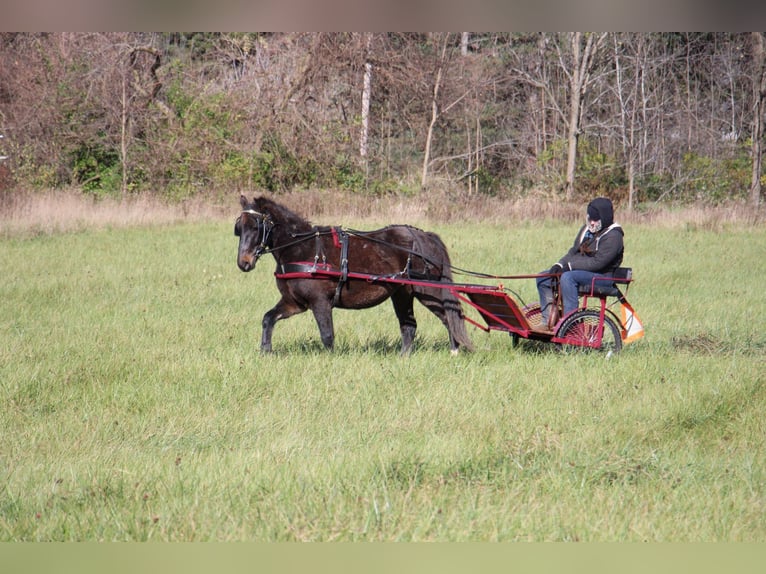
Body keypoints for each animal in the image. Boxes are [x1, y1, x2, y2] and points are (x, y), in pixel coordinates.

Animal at [234, 196, 474, 356]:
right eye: (239, 228)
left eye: (256, 226)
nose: (243, 263)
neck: (302, 248)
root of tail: (425, 236)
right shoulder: (295, 303)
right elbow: (268, 318)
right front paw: (266, 351)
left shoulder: (320, 302)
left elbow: (327, 335)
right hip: (402, 294)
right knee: (409, 326)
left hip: (428, 290)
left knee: (448, 317)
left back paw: (454, 351)